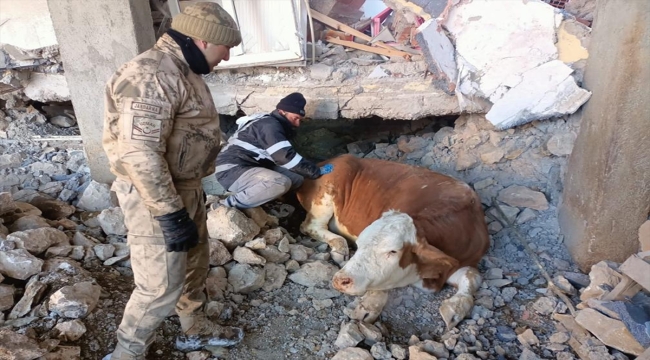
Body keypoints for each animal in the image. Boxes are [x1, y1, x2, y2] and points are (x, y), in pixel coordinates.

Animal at [296, 154, 488, 330]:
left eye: (393, 251)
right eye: (359, 245)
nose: (340, 280)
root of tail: (332, 159)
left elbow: (473, 276)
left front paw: (455, 309)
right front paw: (369, 305)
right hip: (324, 199)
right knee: (310, 226)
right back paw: (339, 247)